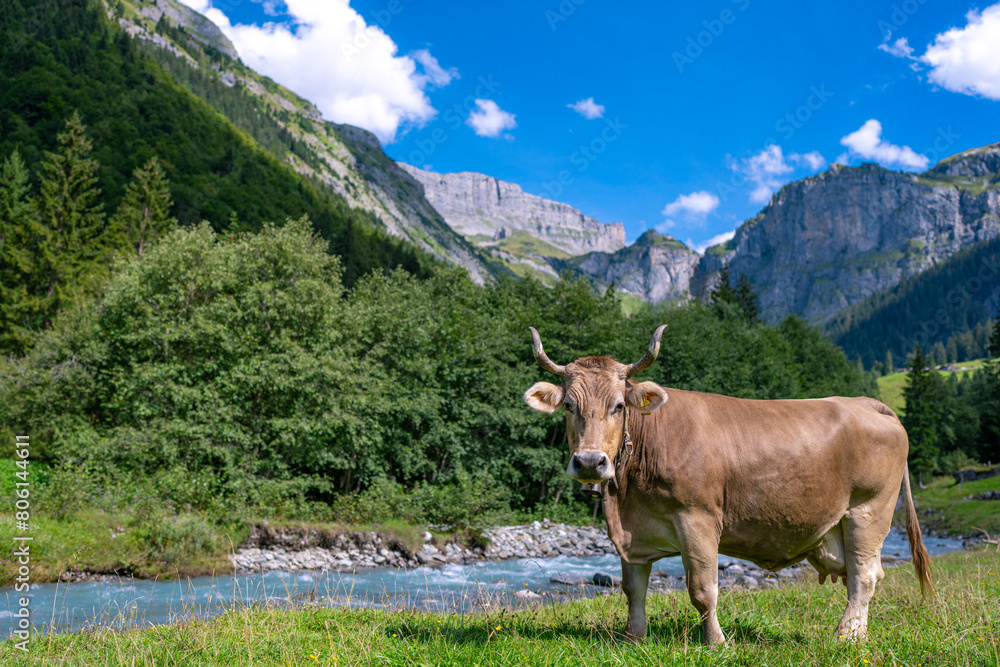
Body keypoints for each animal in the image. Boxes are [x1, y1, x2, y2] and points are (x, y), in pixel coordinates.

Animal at [524, 326, 928, 644]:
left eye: (619, 406)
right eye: (569, 406)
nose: (590, 462)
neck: (626, 501)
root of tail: (867, 403)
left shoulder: (698, 519)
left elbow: (703, 590)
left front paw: (716, 642)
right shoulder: (632, 534)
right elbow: (633, 589)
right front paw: (633, 638)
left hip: (869, 510)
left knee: (864, 576)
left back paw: (846, 636)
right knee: (863, 574)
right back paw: (857, 633)